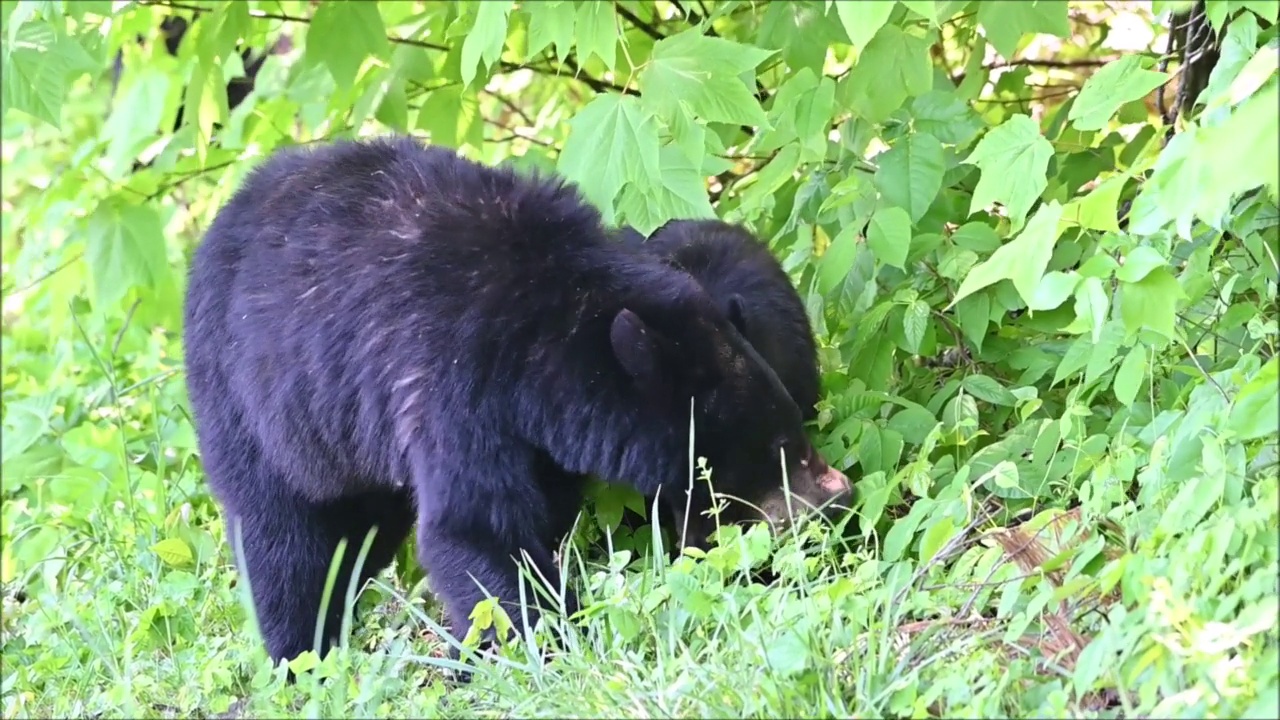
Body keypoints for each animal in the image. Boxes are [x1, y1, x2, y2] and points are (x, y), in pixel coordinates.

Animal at [183, 137, 849, 666]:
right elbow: (477, 530)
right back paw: (301, 654)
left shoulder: (531, 433)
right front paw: (552, 638)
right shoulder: (449, 381)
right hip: (252, 409)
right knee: (283, 542)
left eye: (792, 419)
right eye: (777, 442)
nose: (836, 495)